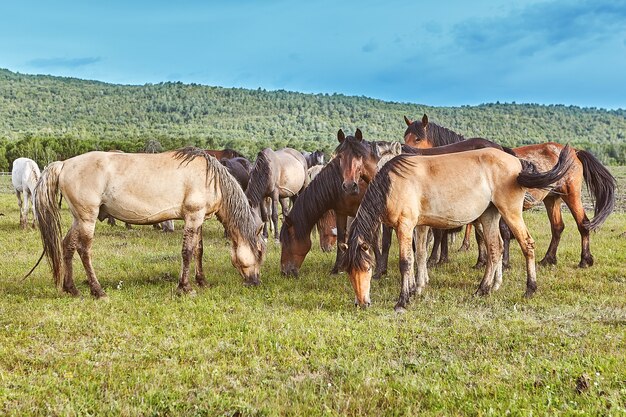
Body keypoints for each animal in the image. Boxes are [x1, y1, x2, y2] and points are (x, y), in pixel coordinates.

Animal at [34, 148, 266, 298]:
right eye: (260, 252)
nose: (255, 281)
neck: (211, 178)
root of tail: (64, 164)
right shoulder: (193, 217)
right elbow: (188, 252)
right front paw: (185, 287)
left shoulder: (199, 220)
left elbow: (199, 250)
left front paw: (202, 281)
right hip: (87, 218)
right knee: (84, 250)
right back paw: (98, 291)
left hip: (78, 219)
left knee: (67, 246)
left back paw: (71, 289)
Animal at [344, 145, 572, 310]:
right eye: (349, 271)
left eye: (367, 268)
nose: (361, 303)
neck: (393, 183)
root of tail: (516, 162)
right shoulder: (419, 226)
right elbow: (419, 256)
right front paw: (415, 290)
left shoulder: (405, 226)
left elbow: (405, 262)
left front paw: (402, 300)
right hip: (490, 215)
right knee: (495, 249)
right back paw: (483, 289)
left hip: (510, 212)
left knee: (527, 245)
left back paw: (529, 289)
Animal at [400, 114, 616, 266]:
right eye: (406, 136)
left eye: (418, 138)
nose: (404, 152)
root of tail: (574, 151)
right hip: (552, 199)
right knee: (557, 227)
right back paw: (548, 259)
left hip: (571, 194)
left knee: (583, 223)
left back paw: (585, 260)